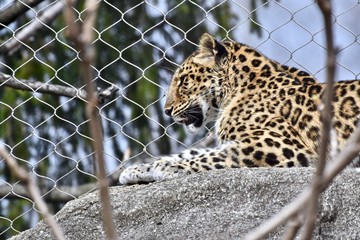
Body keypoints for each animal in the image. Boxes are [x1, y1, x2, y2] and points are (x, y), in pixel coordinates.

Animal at [119, 32, 360, 185]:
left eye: (184, 81)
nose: (167, 110)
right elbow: (192, 153)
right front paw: (135, 170)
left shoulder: (280, 146)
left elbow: (204, 159)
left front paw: (160, 168)